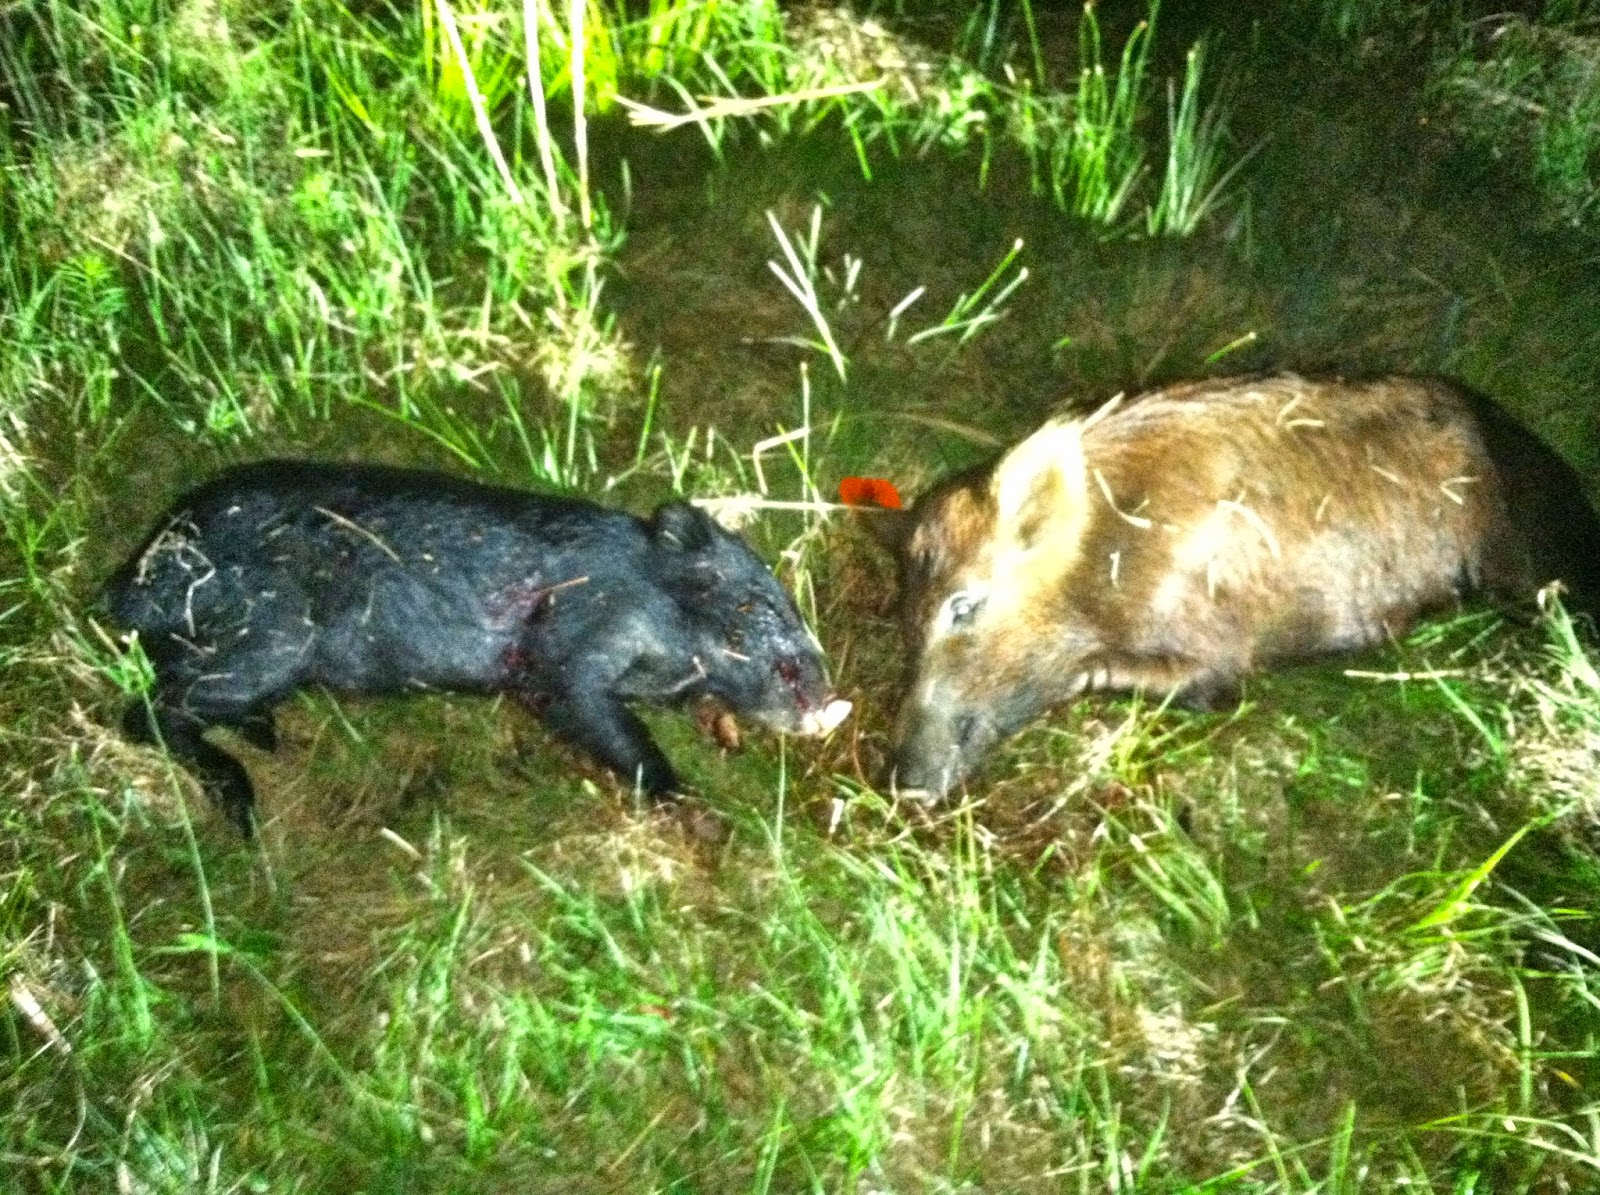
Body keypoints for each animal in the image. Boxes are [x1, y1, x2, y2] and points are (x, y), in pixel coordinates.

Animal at [101, 460, 850, 834]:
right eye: (756, 606)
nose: (831, 700)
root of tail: (131, 579)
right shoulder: (568, 643)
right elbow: (595, 712)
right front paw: (697, 810)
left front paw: (722, 734)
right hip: (269, 640)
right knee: (145, 711)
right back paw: (244, 804)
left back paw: (266, 737)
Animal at [878, 374, 1600, 800]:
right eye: (904, 623)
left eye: (962, 605)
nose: (904, 785)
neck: (1115, 556)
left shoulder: (1218, 644)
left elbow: (1188, 683)